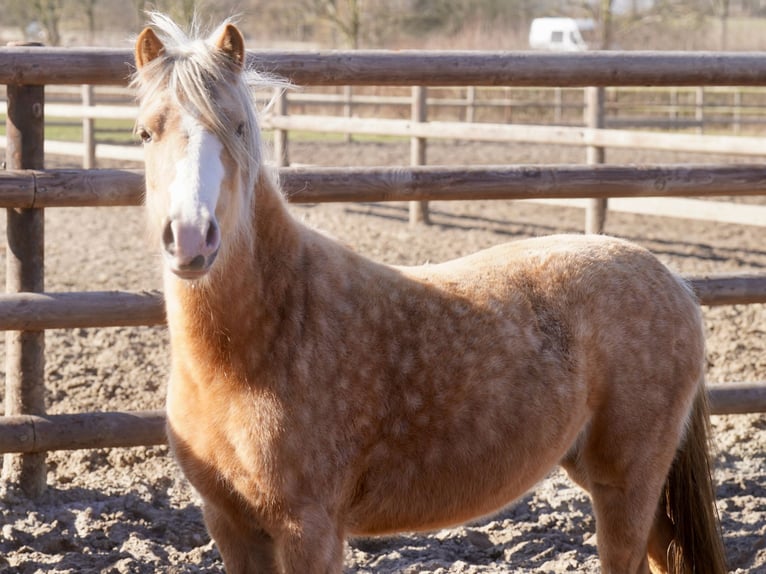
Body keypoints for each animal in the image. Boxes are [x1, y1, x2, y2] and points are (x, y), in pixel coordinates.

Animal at [135, 14, 728, 574]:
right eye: (145, 133)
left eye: (236, 126)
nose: (191, 236)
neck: (262, 343)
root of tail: (675, 283)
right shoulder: (230, 522)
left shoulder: (309, 528)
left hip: (626, 483)